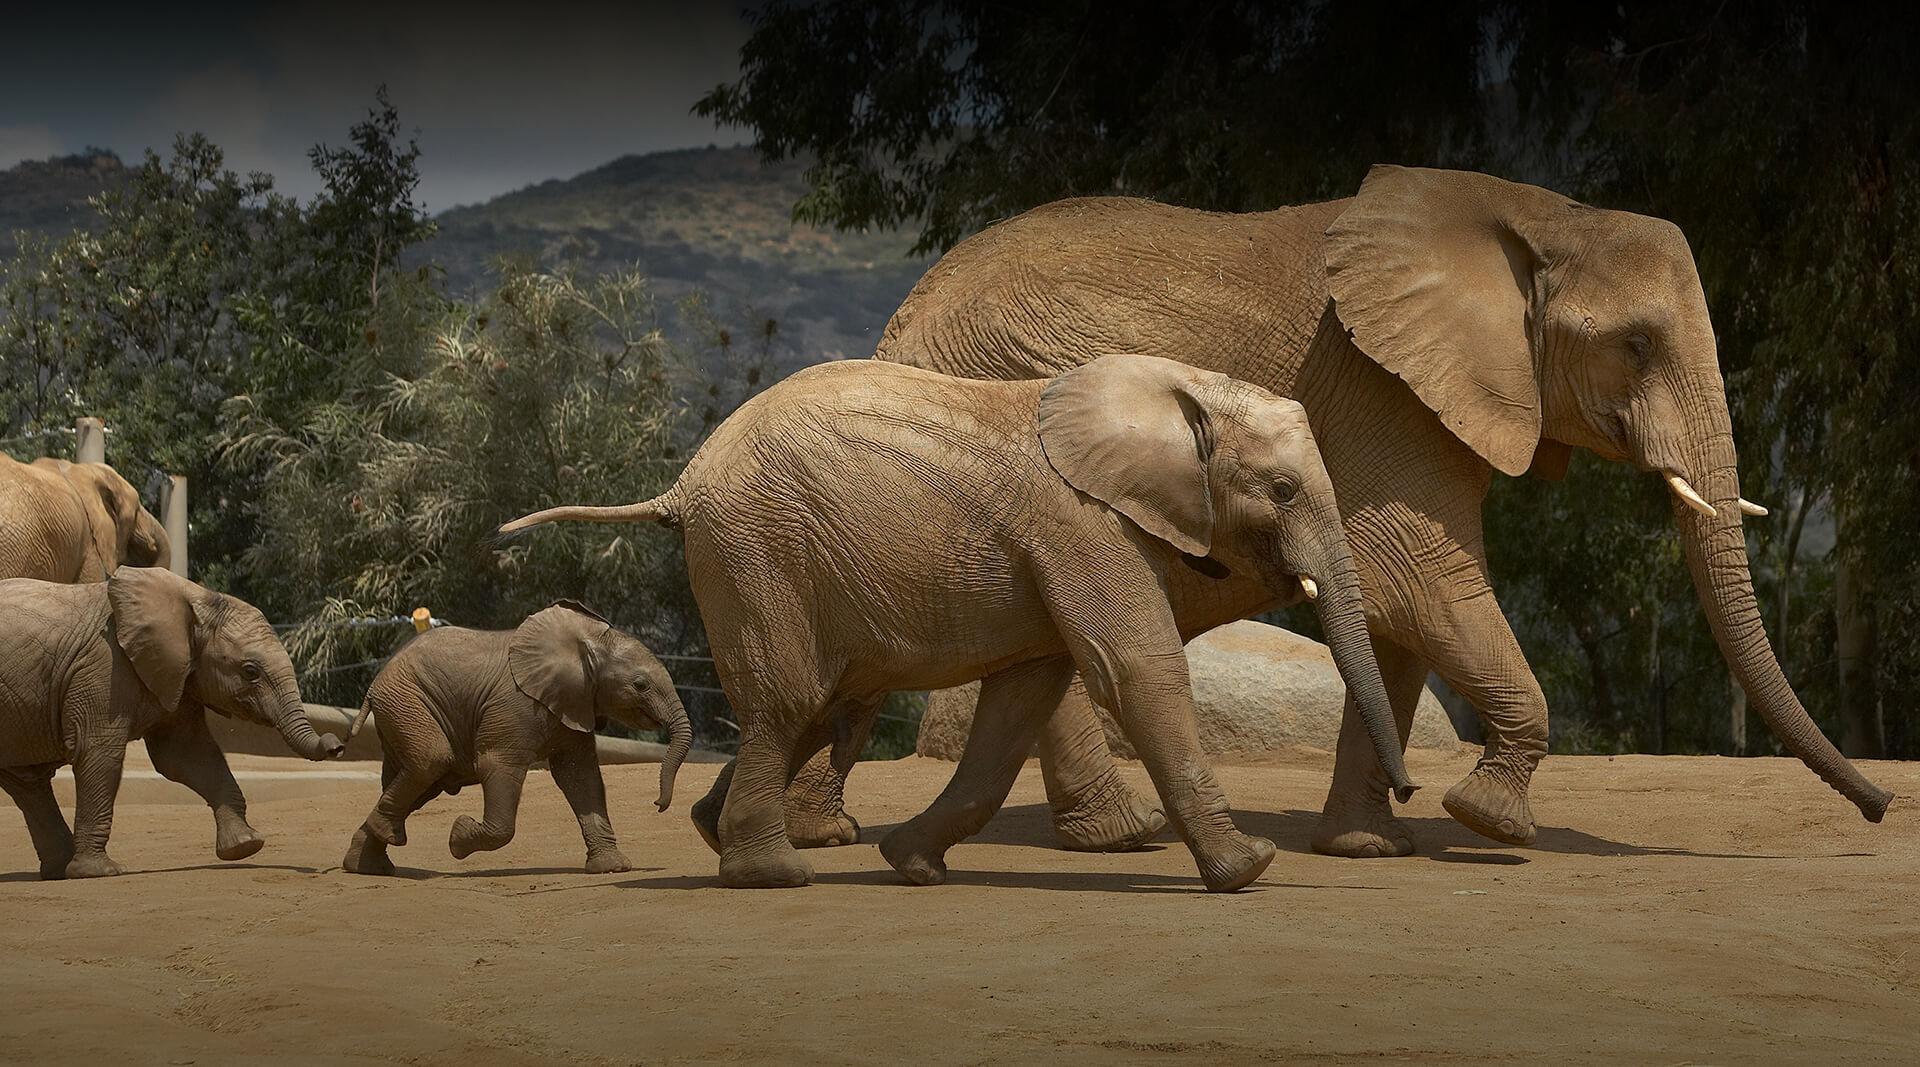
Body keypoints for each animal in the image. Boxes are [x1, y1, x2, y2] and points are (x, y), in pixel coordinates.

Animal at [0, 568, 349, 875]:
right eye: (250, 671)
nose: (337, 745)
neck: (196, 598)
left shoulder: (178, 674)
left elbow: (185, 755)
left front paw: (244, 846)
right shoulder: (102, 670)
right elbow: (100, 754)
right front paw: (99, 873)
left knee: (27, 782)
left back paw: (58, 871)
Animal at [341, 598, 695, 875]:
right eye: (640, 685)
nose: (658, 804)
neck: (587, 644)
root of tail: (374, 685)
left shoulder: (573, 702)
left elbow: (580, 777)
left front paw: (612, 868)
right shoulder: (515, 706)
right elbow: (498, 766)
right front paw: (457, 838)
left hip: (403, 710)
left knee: (413, 780)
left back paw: (367, 865)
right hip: (408, 703)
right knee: (430, 762)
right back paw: (383, 842)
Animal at [503, 353, 1420, 890]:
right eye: (1283, 491)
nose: (1410, 790)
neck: (1174, 387)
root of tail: (684, 483)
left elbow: (1020, 702)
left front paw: (912, 863)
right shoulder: (1081, 524)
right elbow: (1134, 667)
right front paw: (1246, 869)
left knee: (826, 705)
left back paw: (714, 831)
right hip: (757, 551)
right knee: (792, 701)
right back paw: (773, 874)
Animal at [779, 162, 1889, 859]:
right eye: (1637, 345)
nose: (1881, 810)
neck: (1535, 216)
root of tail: (899, 320)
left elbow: (1391, 616)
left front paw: (1371, 842)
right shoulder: (1381, 389)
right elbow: (1415, 580)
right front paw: (1491, 823)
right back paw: (1120, 836)